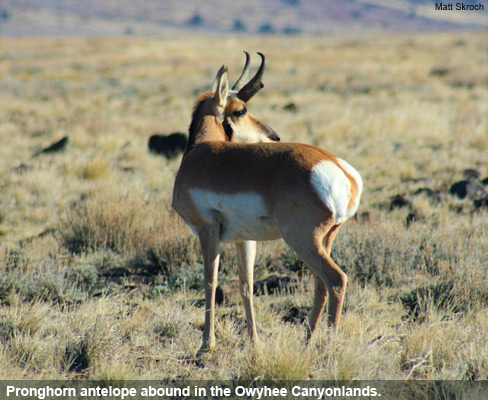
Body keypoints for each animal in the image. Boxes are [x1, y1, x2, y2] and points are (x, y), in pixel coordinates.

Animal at [173, 52, 362, 354]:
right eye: (240, 111)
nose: (274, 136)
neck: (201, 152)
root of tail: (340, 169)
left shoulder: (207, 231)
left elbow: (209, 282)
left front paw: (206, 345)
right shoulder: (244, 239)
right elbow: (246, 286)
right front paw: (255, 343)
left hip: (302, 240)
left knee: (336, 279)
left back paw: (328, 344)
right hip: (324, 240)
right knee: (321, 284)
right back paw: (307, 342)